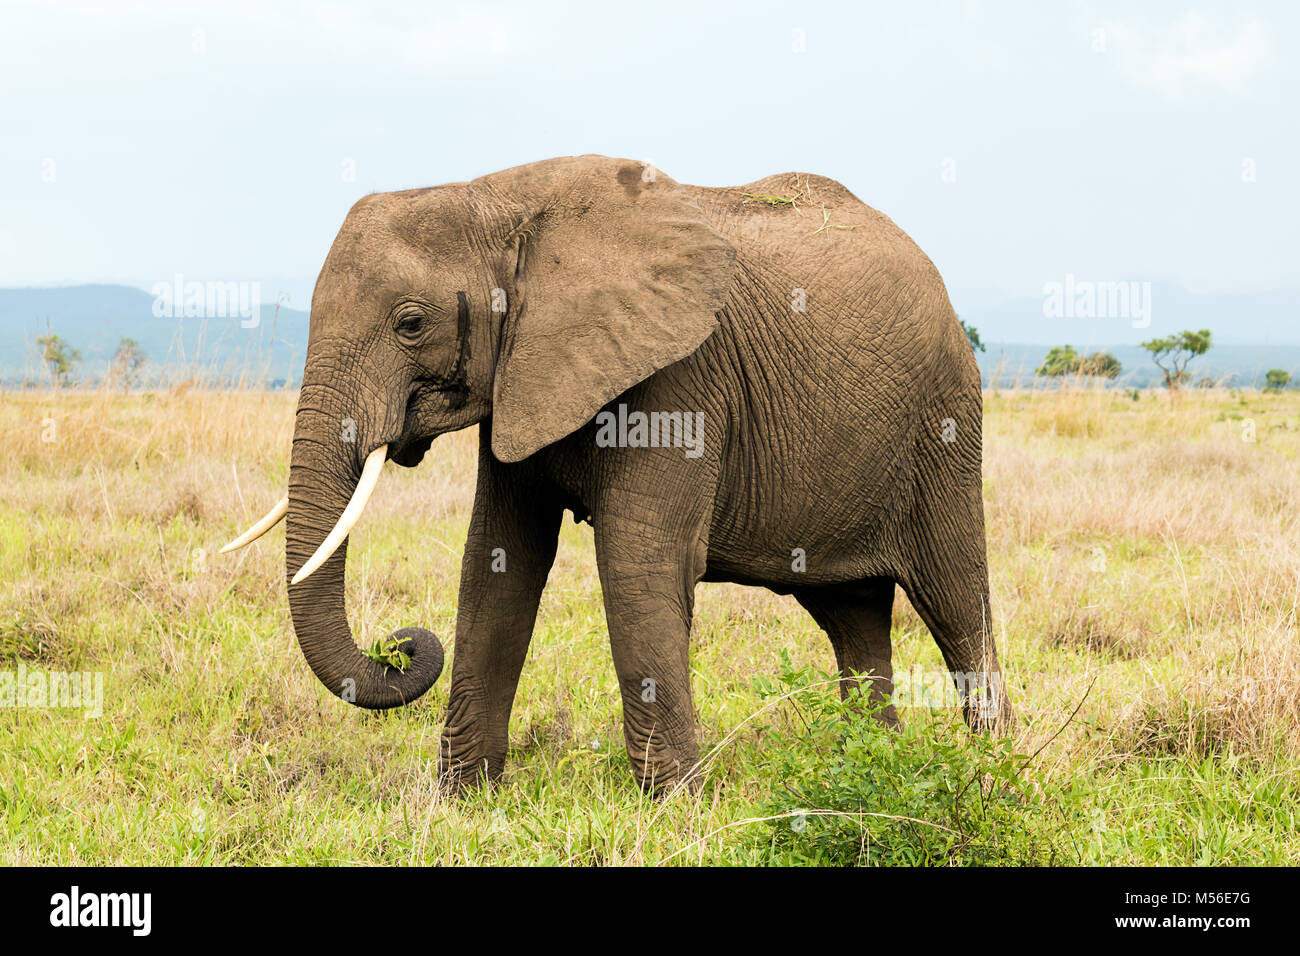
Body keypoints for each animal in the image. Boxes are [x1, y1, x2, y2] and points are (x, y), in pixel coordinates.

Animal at [223, 151, 1008, 790]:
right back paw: (871, 770)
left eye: (411, 324)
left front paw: (677, 808)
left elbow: (637, 561)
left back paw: (994, 771)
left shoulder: (682, 374)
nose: (399, 645)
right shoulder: (526, 372)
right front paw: (461, 802)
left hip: (944, 421)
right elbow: (498, 563)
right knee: (853, 614)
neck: (499, 198)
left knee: (955, 601)